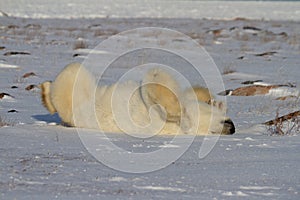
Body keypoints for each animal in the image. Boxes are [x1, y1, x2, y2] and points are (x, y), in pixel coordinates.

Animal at [41, 62, 234, 134]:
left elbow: (155, 79)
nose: (231, 126)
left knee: (71, 76)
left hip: (80, 99)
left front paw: (176, 109)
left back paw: (45, 91)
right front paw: (211, 98)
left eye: (214, 130)